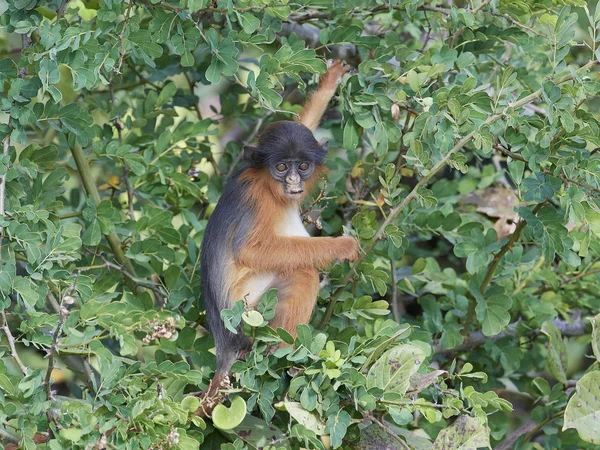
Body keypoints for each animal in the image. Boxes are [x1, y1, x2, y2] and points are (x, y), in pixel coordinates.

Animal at [197, 59, 358, 408]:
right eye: (282, 167)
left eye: (303, 166)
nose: (294, 182)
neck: (272, 188)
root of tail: (224, 346)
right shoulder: (258, 197)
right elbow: (250, 250)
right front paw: (342, 246)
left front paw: (330, 81)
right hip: (249, 315)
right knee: (302, 273)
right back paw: (287, 354)